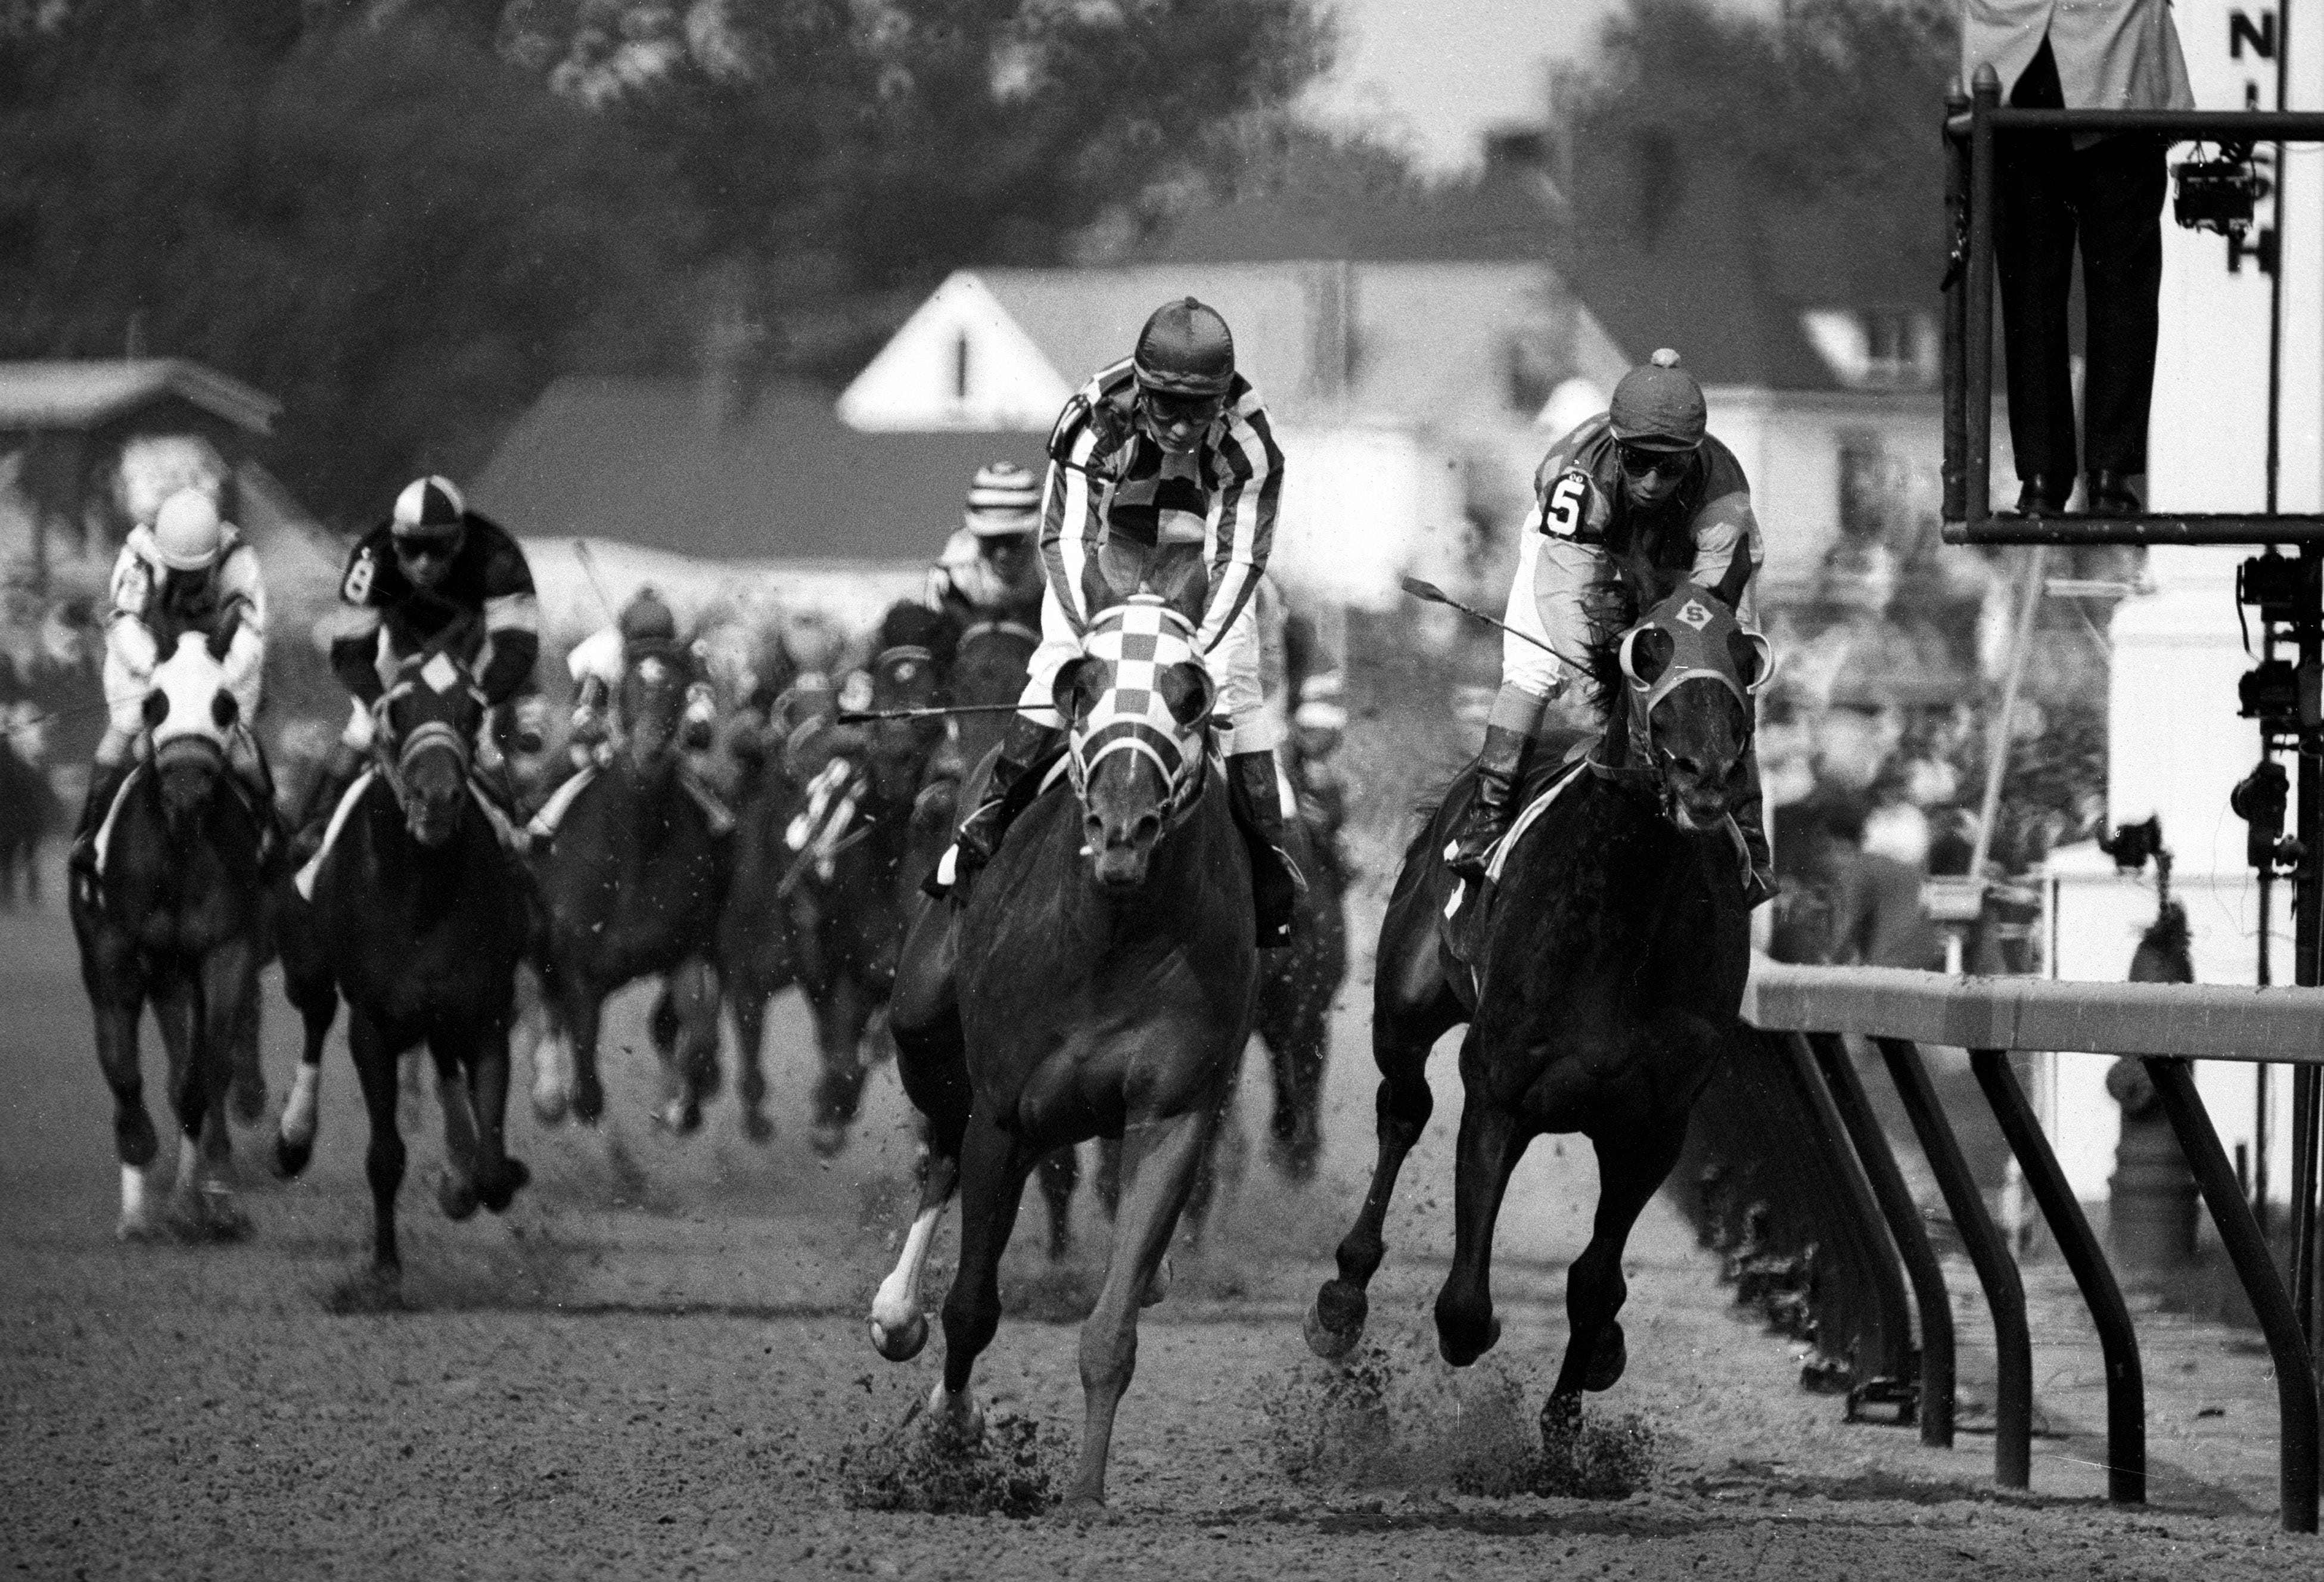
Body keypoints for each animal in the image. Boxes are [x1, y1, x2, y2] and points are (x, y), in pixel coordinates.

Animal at [71, 627, 266, 1236]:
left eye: (224, 704)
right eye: (155, 703)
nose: (184, 794)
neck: (177, 855)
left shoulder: (225, 951)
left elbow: (208, 1069)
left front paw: (216, 1195)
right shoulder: (115, 954)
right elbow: (122, 1066)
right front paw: (137, 1172)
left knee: (192, 1077)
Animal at [874, 585, 1264, 1496]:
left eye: (1190, 696)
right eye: (1081, 688)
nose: (1123, 828)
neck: (1110, 937)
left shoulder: (1173, 1107)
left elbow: (1112, 1327)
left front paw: (1085, 1491)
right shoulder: (1003, 1112)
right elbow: (971, 1305)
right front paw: (952, 1428)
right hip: (925, 1025)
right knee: (939, 1148)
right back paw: (895, 1311)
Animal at [1310, 573, 1757, 1440]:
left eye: (1746, 655)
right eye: (1648, 649)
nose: (1706, 771)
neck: (1621, 925)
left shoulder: (1653, 1127)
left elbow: (1595, 1281)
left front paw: (1576, 1405)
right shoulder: (1500, 1093)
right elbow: (1462, 1302)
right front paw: (1481, 1333)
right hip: (1404, 1002)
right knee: (1403, 1106)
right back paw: (1342, 1296)